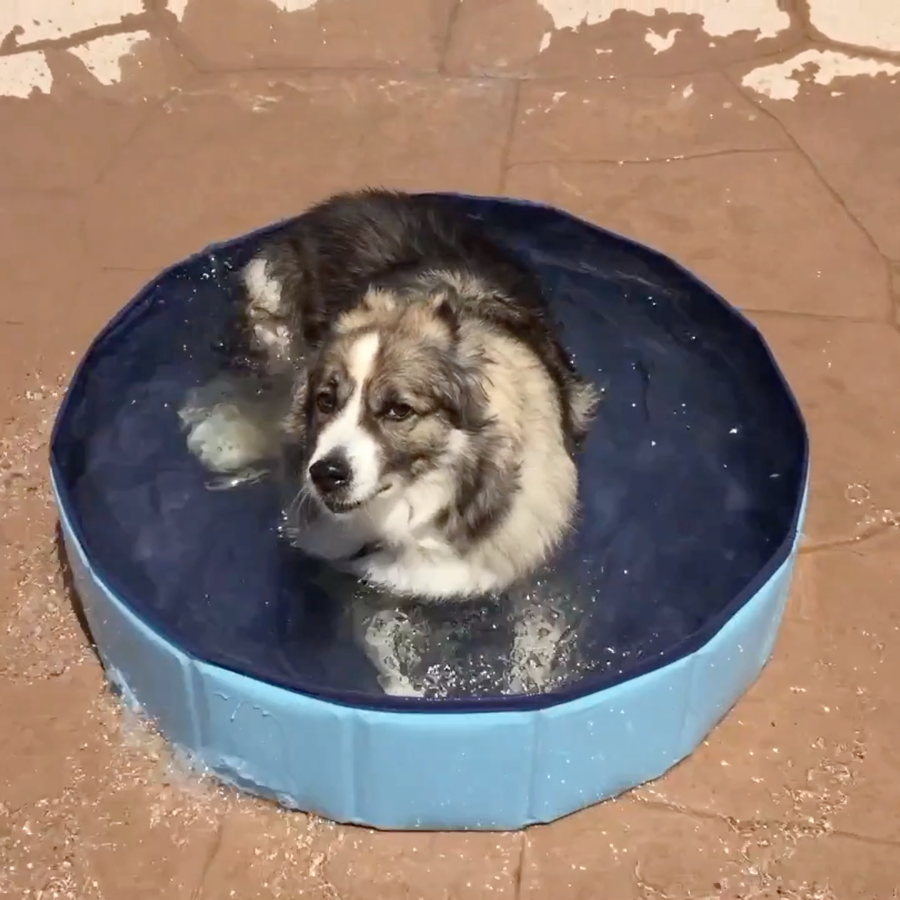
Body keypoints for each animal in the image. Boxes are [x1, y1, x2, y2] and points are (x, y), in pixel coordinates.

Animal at [178, 190, 596, 696]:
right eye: (326, 401)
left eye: (398, 410)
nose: (325, 475)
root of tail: (337, 203)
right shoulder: (364, 583)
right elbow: (385, 648)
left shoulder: (534, 572)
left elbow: (537, 648)